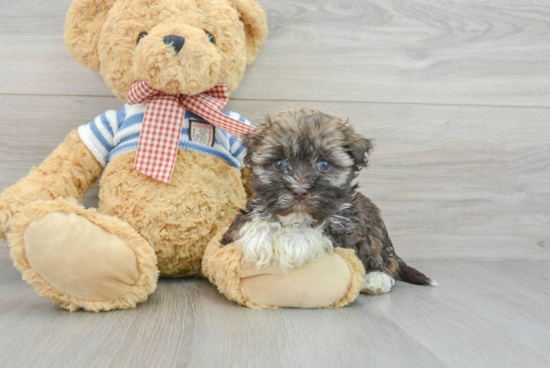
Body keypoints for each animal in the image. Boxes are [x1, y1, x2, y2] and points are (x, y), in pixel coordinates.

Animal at [221, 108, 436, 294]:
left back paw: (378, 279)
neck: (298, 217)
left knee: (385, 260)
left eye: (324, 165)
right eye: (279, 163)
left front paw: (289, 242)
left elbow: (314, 233)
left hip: (375, 230)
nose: (299, 191)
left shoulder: (346, 231)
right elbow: (250, 223)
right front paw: (259, 237)